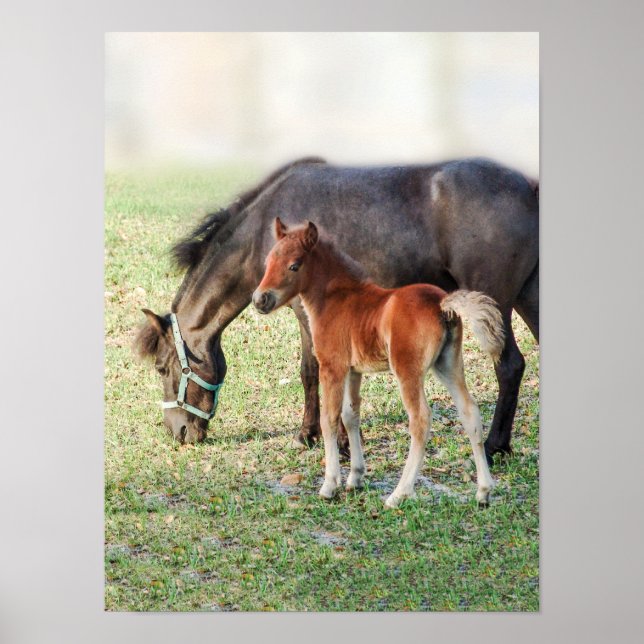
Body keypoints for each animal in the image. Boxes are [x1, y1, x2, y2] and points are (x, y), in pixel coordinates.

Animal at [133, 156, 538, 462]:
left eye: (162, 367)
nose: (178, 432)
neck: (263, 232)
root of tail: (529, 187)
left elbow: (322, 371)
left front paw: (339, 444)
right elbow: (310, 372)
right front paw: (308, 434)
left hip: (495, 304)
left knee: (509, 365)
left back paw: (494, 446)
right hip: (527, 298)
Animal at [252, 218, 504, 507]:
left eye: (294, 265)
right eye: (269, 261)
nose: (259, 299)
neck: (336, 299)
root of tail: (442, 302)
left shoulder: (333, 367)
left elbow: (330, 419)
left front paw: (330, 485)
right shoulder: (353, 371)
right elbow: (351, 416)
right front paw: (355, 478)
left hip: (408, 371)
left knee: (420, 420)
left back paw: (399, 494)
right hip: (448, 365)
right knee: (469, 412)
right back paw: (483, 491)